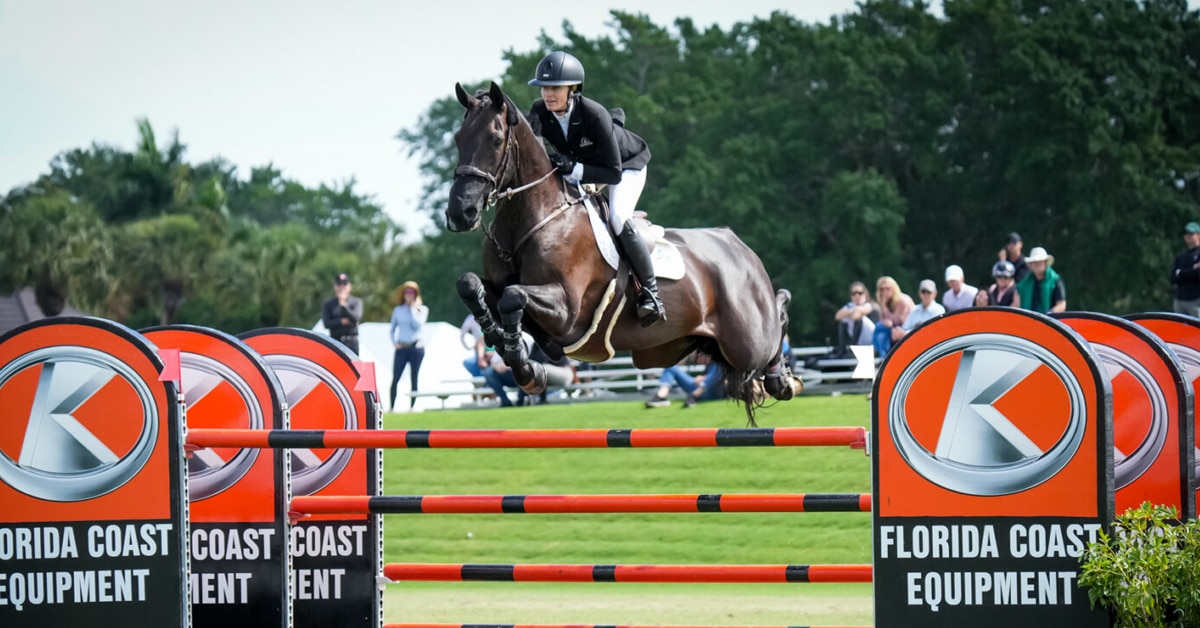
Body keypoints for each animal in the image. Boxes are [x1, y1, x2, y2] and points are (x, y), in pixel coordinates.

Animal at [445, 82, 802, 424]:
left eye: (494, 140)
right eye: (458, 139)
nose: (461, 213)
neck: (538, 217)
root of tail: (738, 246)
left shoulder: (568, 311)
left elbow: (513, 297)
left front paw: (525, 368)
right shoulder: (506, 287)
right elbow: (471, 285)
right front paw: (500, 338)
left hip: (748, 339)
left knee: (776, 319)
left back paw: (783, 378)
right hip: (686, 346)